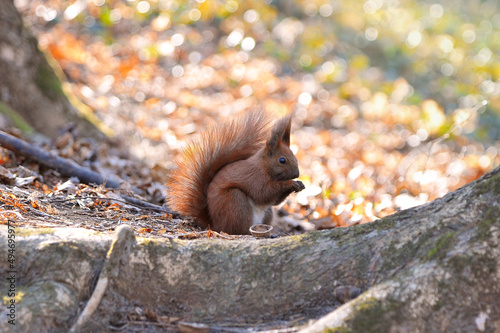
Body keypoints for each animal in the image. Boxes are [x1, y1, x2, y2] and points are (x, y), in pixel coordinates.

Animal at [167, 109, 304, 233]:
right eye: (282, 160)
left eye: (294, 156)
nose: (297, 174)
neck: (264, 166)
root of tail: (215, 226)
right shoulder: (254, 176)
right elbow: (263, 193)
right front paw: (290, 184)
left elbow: (274, 201)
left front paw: (299, 184)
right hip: (235, 202)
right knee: (239, 229)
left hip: (266, 212)